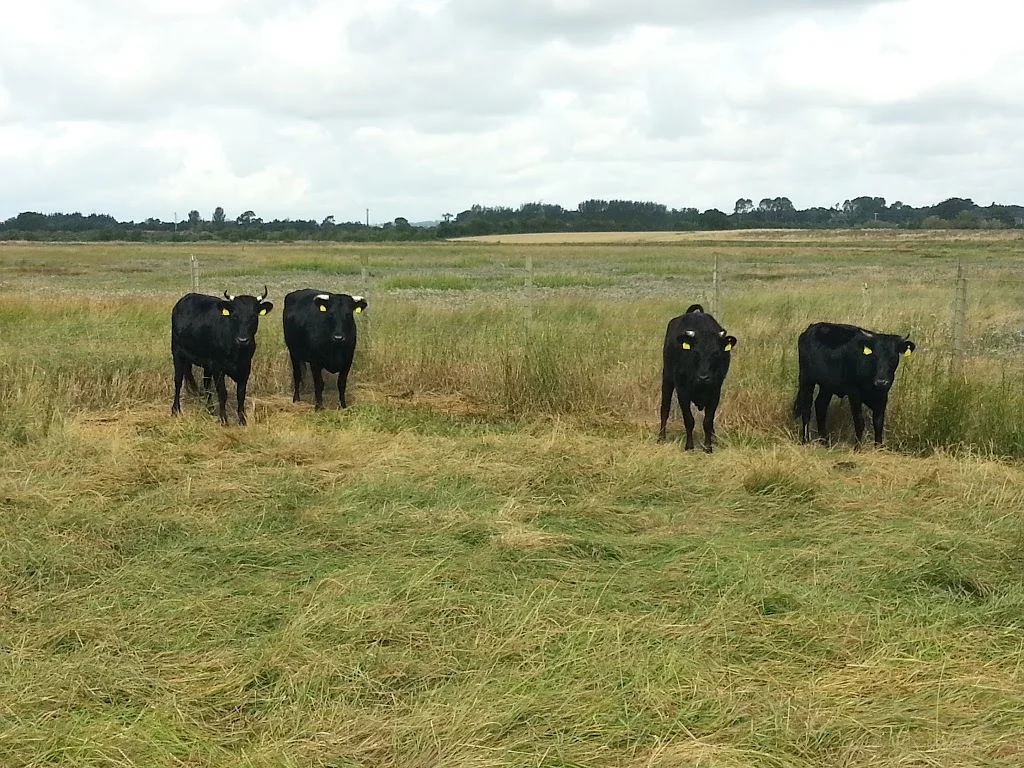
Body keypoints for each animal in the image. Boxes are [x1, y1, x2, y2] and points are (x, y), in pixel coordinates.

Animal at [170, 287, 273, 425]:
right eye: (235, 316)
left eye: (253, 316)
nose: (243, 340)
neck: (237, 352)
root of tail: (185, 299)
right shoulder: (217, 366)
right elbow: (222, 393)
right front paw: (224, 419)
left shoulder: (245, 366)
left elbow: (241, 394)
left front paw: (242, 420)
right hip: (177, 352)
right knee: (178, 381)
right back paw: (175, 410)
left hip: (205, 363)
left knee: (206, 384)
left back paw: (210, 408)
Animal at [658, 304, 738, 452]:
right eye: (695, 352)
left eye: (716, 353)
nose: (704, 377)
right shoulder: (682, 391)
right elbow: (689, 420)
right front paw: (689, 446)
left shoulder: (715, 391)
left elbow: (708, 421)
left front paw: (708, 447)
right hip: (667, 377)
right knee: (664, 409)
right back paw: (661, 437)